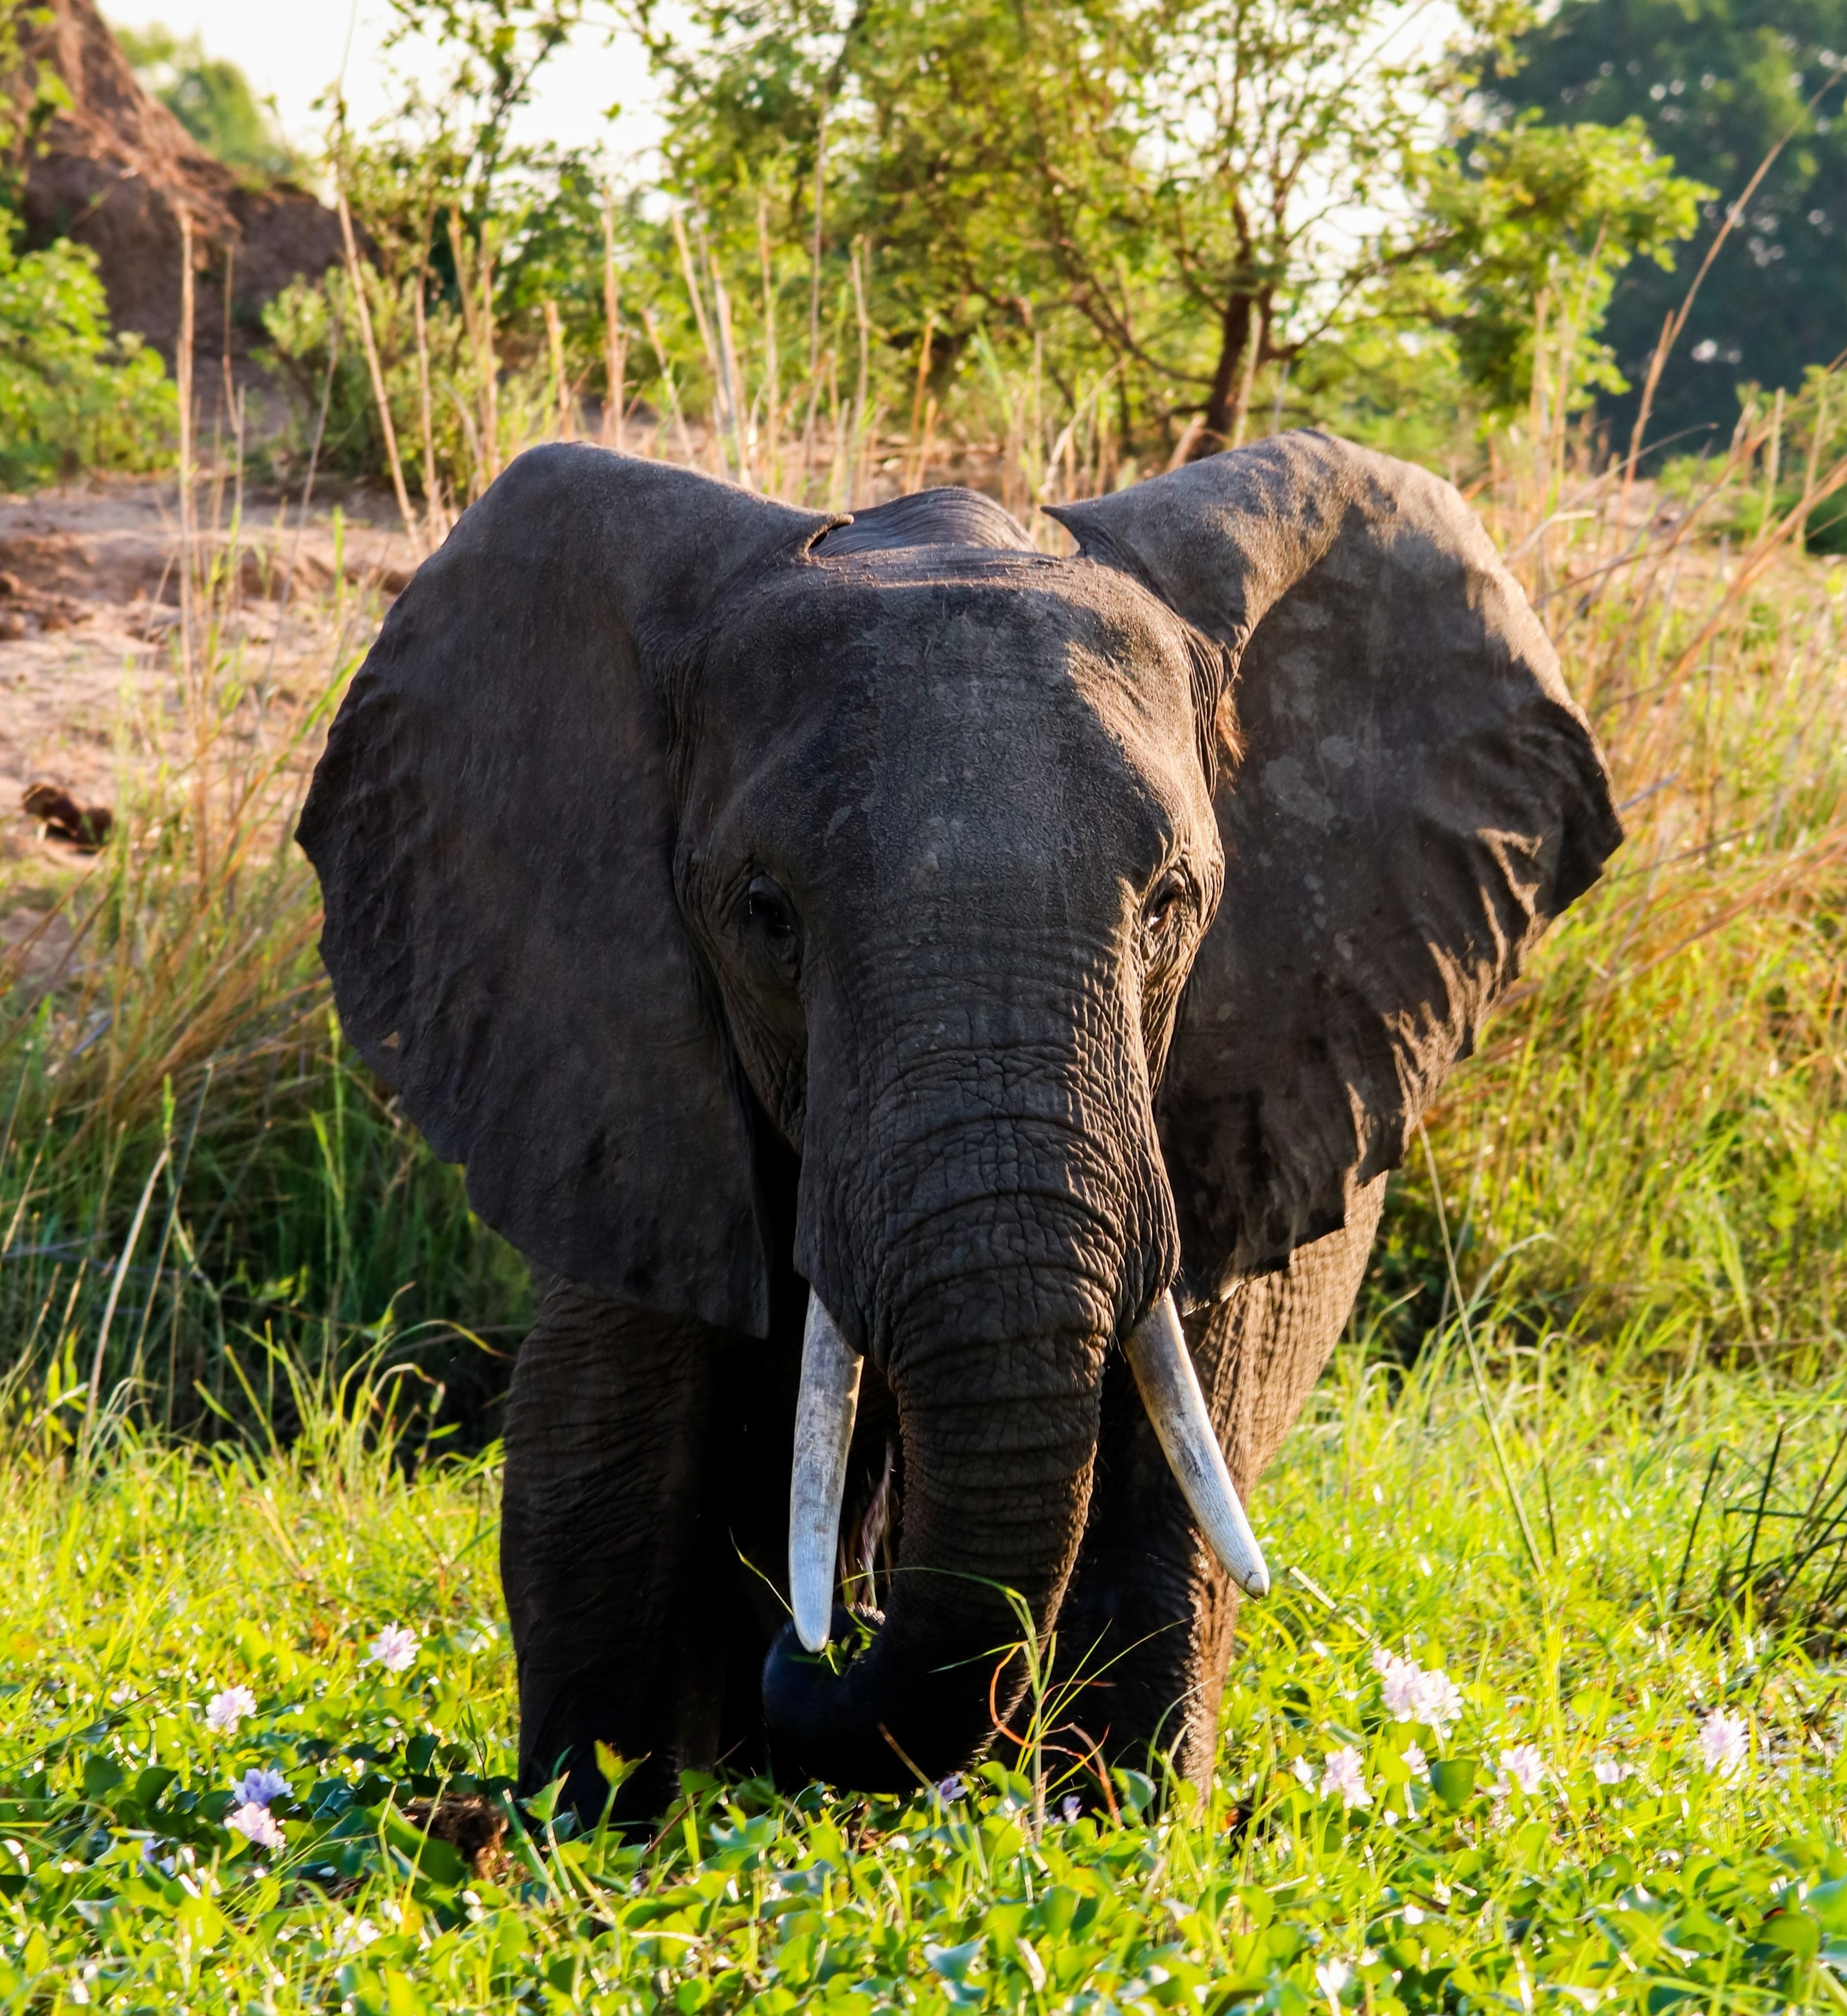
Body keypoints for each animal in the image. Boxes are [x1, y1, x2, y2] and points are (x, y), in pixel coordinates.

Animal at [297, 428, 1621, 1818]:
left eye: (1169, 903)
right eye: (766, 912)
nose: (825, 1635)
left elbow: (1172, 1468)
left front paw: (1118, 1826)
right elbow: (607, 1453)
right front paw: (600, 1826)